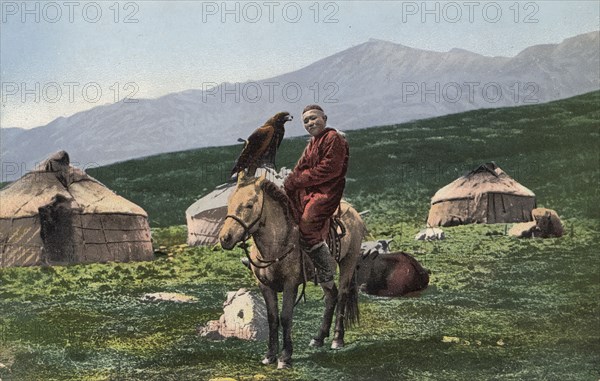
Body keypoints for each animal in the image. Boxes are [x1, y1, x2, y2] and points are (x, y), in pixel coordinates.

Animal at [218, 171, 364, 368]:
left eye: (249, 205)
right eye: (229, 202)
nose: (225, 238)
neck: (277, 244)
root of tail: (353, 211)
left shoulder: (291, 285)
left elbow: (286, 317)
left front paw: (285, 357)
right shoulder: (264, 286)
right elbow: (272, 318)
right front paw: (269, 355)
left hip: (348, 263)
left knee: (341, 295)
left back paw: (337, 339)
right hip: (324, 274)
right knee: (331, 295)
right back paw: (319, 338)